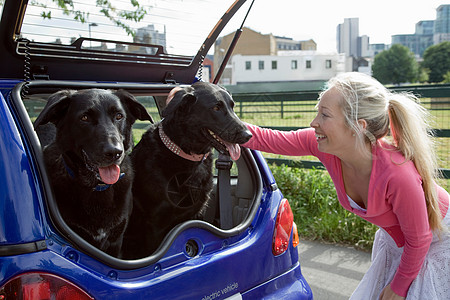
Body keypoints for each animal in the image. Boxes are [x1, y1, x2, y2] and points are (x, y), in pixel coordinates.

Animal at [123, 82, 251, 258]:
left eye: (232, 106)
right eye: (216, 108)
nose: (248, 135)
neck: (185, 154)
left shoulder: (194, 215)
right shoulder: (154, 225)